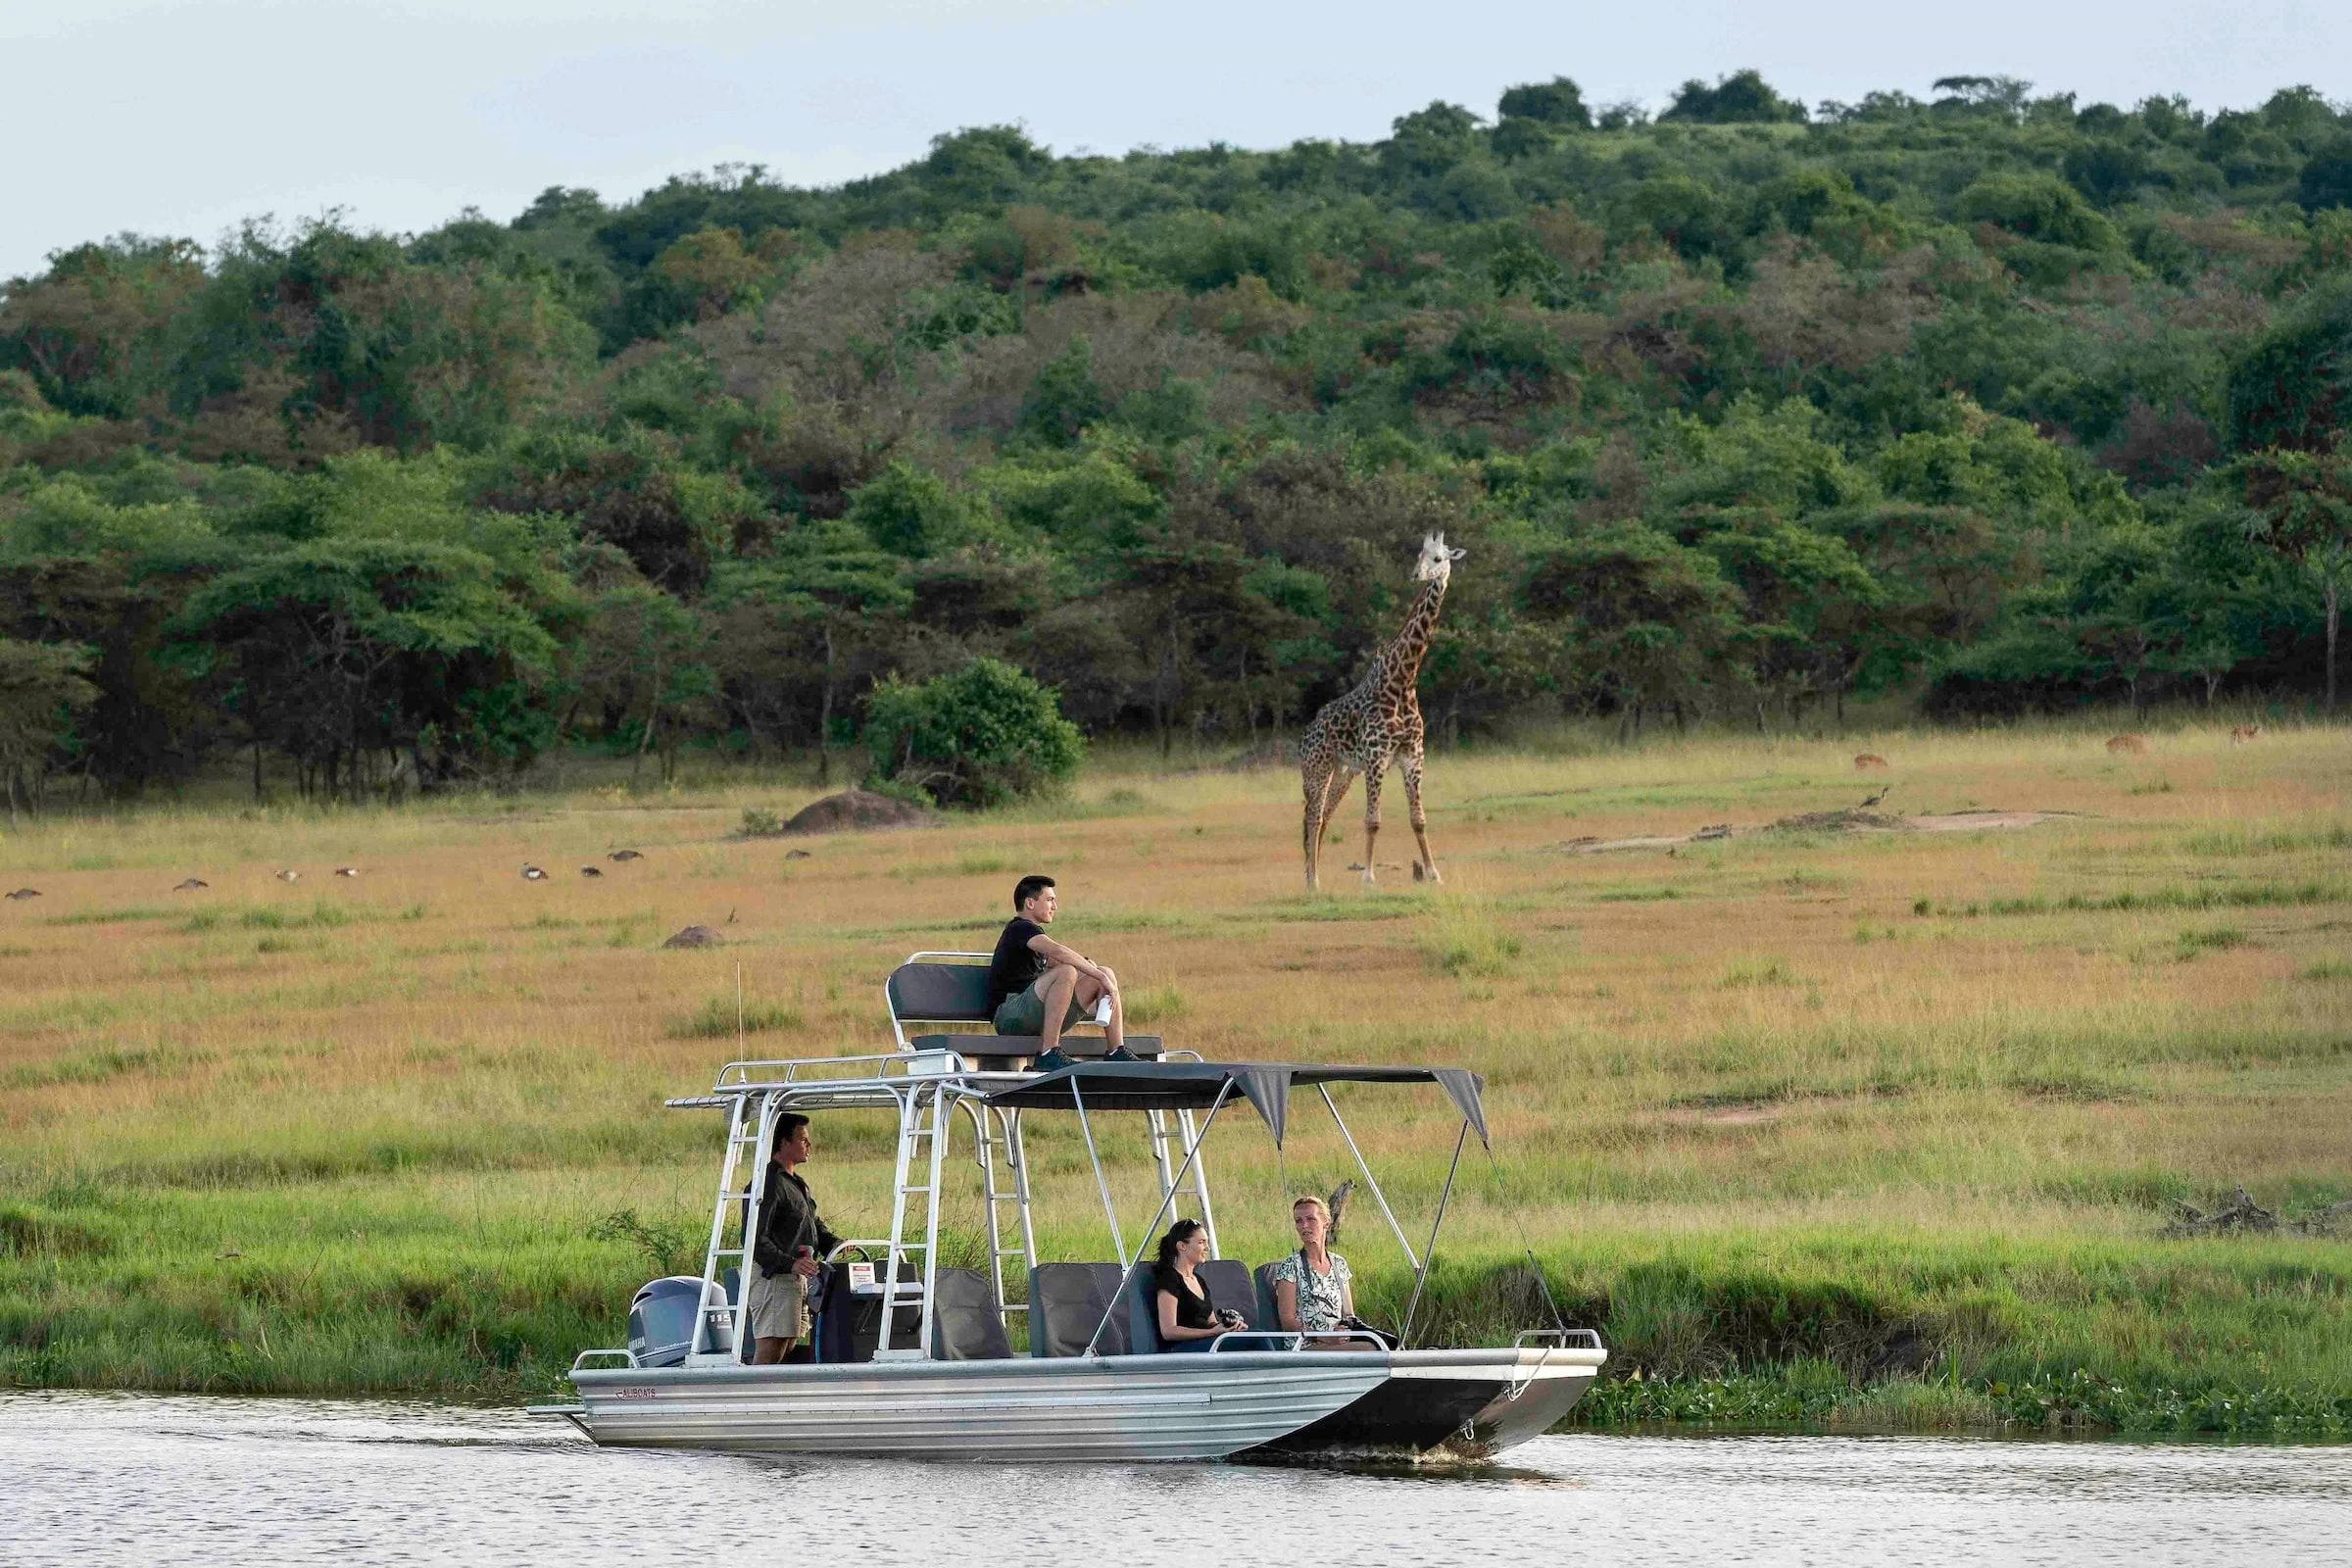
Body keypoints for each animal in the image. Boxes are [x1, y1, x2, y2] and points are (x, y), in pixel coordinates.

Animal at [1301, 533, 1465, 890]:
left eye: (1440, 558)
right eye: (1419, 555)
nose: (1417, 575)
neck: (1404, 680)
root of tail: (1307, 732)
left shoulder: (1413, 755)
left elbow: (1418, 819)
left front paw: (1433, 873)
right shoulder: (1377, 757)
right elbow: (1372, 820)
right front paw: (1368, 877)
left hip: (1344, 771)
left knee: (1323, 817)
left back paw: (1312, 877)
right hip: (1316, 768)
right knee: (1312, 817)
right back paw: (1312, 881)